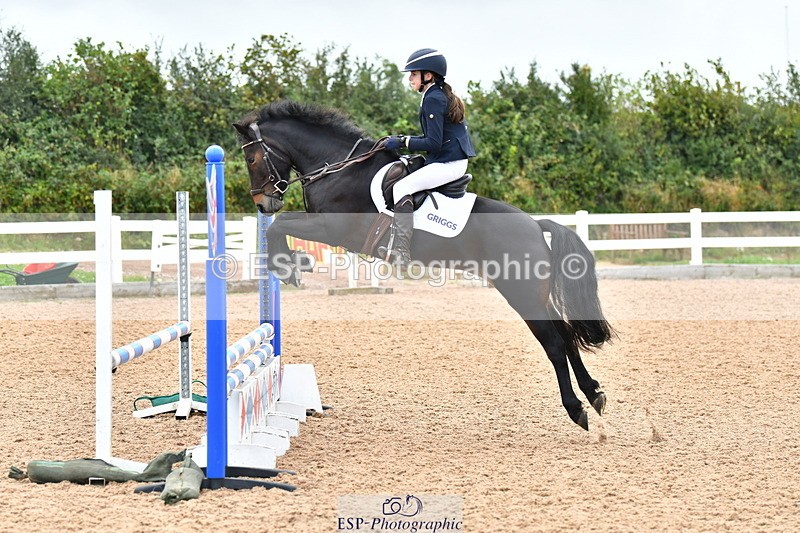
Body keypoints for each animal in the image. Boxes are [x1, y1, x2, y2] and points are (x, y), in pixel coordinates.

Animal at [233, 100, 614, 430]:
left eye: (251, 157)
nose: (263, 204)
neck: (338, 166)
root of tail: (536, 225)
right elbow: (282, 225)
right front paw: (291, 263)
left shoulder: (332, 229)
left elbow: (282, 225)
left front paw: (289, 266)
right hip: (536, 294)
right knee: (567, 337)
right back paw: (594, 393)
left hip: (522, 295)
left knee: (555, 344)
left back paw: (576, 408)